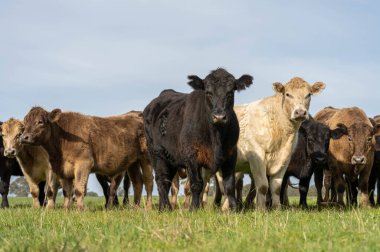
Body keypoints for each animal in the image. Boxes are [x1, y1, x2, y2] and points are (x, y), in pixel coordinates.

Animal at [20, 109, 153, 211]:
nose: (24, 137)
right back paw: (135, 207)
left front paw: (80, 209)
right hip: (133, 162)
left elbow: (79, 189)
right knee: (137, 182)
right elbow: (67, 192)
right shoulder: (63, 169)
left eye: (40, 122)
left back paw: (148, 207)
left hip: (146, 157)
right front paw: (66, 209)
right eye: (25, 123)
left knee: (148, 182)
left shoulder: (83, 163)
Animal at [144, 68, 254, 211]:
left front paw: (234, 209)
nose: (219, 117)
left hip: (171, 158)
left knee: (166, 181)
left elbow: (229, 185)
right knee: (161, 180)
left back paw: (163, 207)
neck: (215, 137)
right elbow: (196, 184)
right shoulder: (192, 155)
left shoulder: (231, 154)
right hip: (156, 154)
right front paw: (194, 208)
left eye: (230, 92)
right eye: (208, 92)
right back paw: (167, 207)